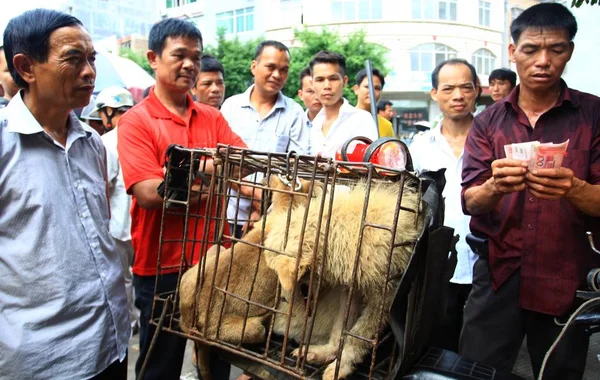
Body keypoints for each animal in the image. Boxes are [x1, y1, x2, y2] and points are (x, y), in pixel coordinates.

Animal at [262, 179, 422, 380]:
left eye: (301, 285)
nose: (284, 297)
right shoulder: (351, 289)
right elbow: (340, 329)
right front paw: (326, 353)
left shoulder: (383, 299)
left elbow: (356, 336)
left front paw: (342, 365)